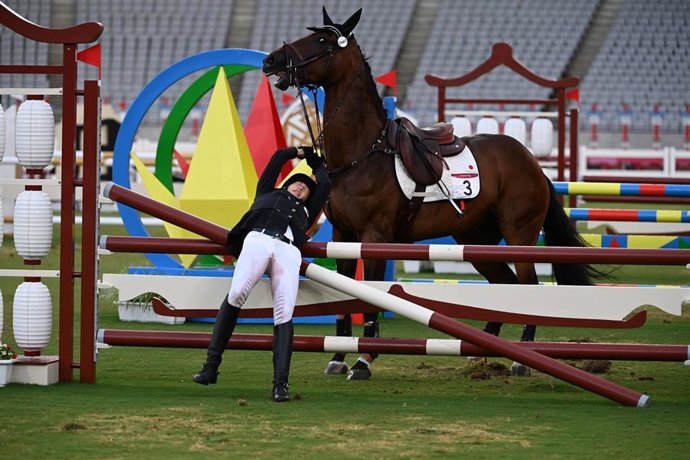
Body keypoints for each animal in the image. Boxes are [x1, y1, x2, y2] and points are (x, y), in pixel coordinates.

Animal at [262, 7, 601, 380]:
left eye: (322, 40)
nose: (271, 59)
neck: (363, 153)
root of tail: (533, 163)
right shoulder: (343, 237)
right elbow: (343, 297)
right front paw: (338, 357)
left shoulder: (375, 238)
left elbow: (370, 299)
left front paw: (364, 361)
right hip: (476, 241)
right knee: (505, 284)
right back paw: (483, 351)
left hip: (520, 237)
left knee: (527, 287)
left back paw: (520, 359)